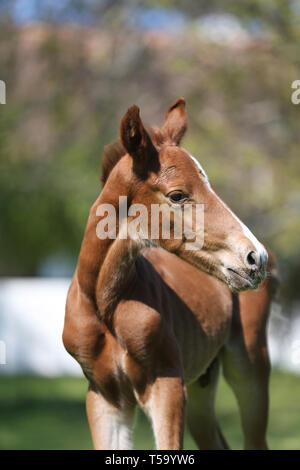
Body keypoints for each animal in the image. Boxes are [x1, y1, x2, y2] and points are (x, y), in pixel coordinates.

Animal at [63, 97, 276, 450]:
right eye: (177, 195)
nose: (255, 257)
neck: (104, 304)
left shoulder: (168, 384)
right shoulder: (105, 397)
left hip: (250, 369)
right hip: (203, 384)